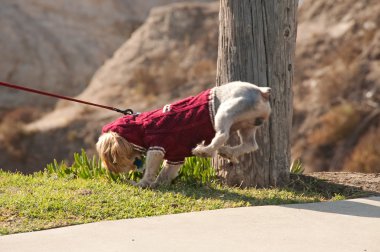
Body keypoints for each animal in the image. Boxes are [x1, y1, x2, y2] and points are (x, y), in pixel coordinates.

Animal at [96, 80, 272, 187]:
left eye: (112, 160)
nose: (112, 171)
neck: (140, 126)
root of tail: (262, 91)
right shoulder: (175, 156)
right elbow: (167, 172)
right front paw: (159, 184)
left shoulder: (157, 146)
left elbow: (152, 167)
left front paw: (143, 184)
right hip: (248, 125)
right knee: (250, 144)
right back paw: (227, 152)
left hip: (226, 112)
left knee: (222, 135)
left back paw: (204, 150)